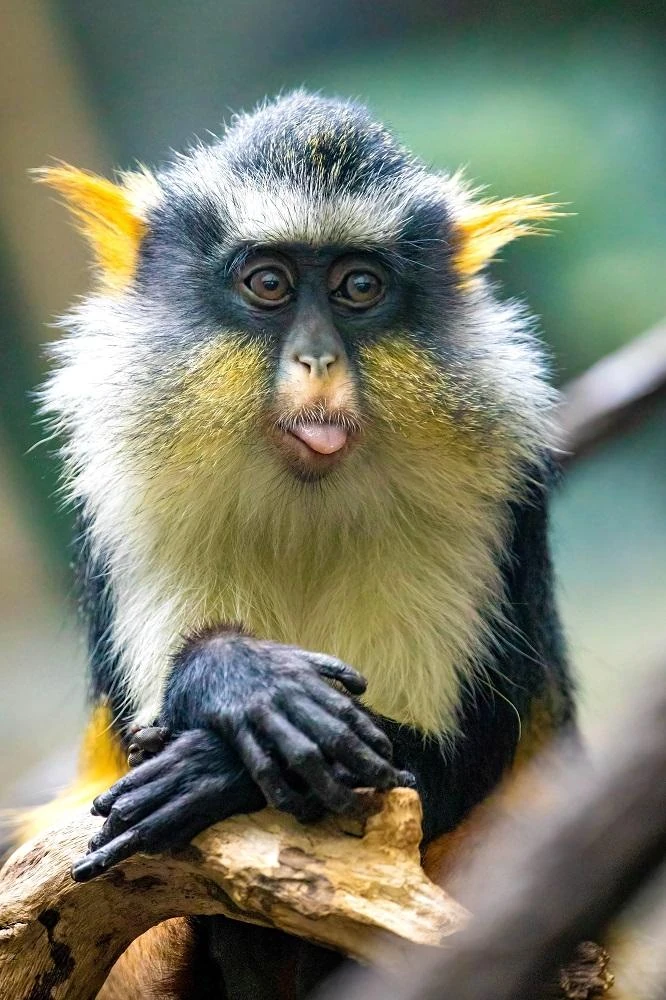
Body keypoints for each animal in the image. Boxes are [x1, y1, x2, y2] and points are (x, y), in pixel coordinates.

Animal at [25, 91, 575, 997]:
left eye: (359, 287)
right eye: (270, 284)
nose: (317, 359)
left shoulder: (496, 500)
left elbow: (451, 765)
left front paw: (216, 771)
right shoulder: (121, 502)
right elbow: (141, 738)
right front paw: (243, 684)